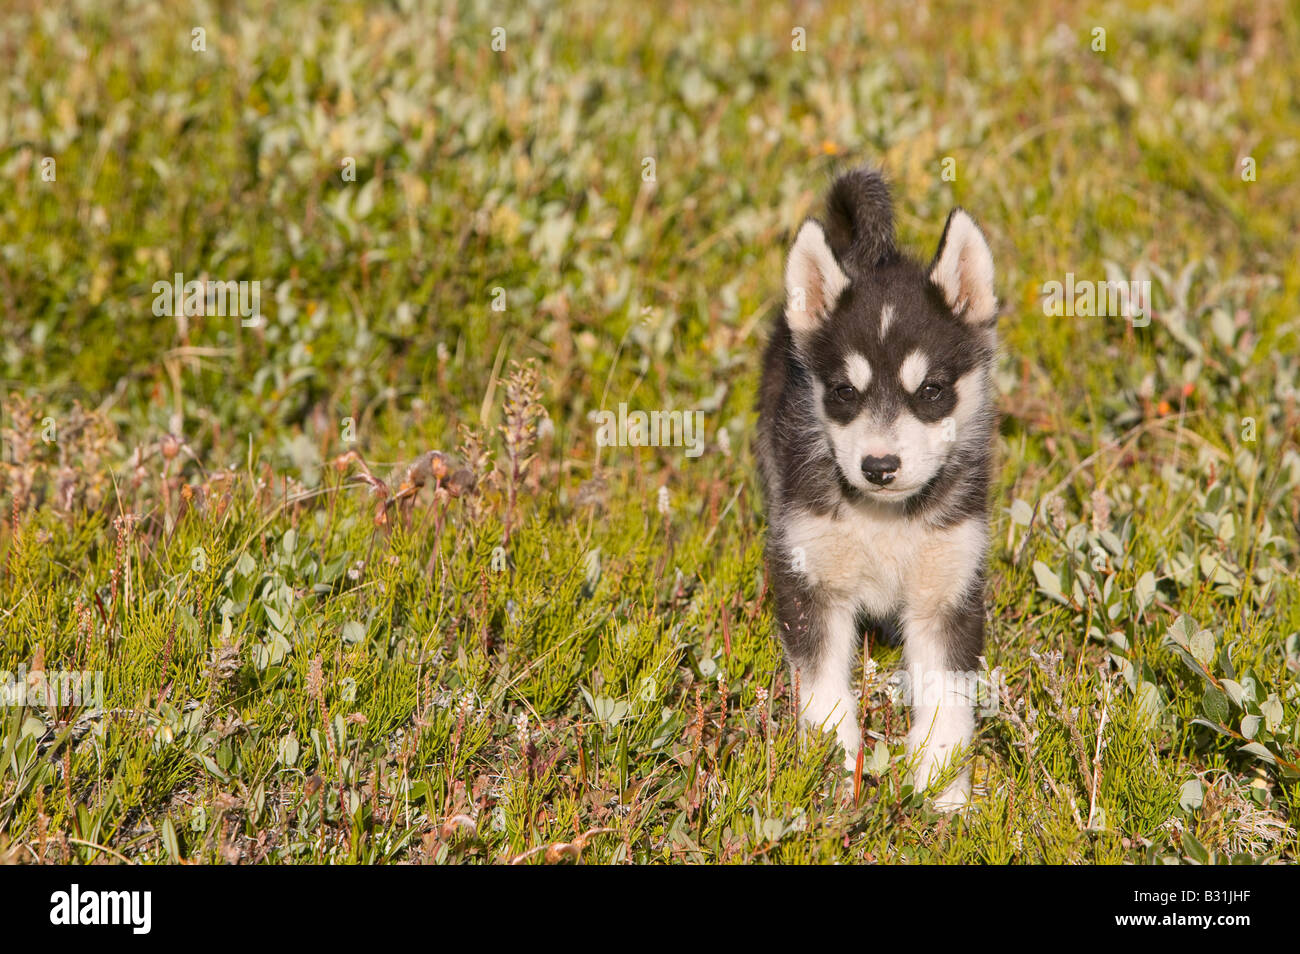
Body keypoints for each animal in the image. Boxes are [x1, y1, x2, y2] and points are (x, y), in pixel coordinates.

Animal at [759, 167, 998, 811]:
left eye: (932, 390)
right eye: (845, 391)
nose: (880, 466)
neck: (886, 520)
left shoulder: (948, 590)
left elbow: (946, 699)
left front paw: (942, 790)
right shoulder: (810, 581)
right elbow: (823, 692)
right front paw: (834, 775)